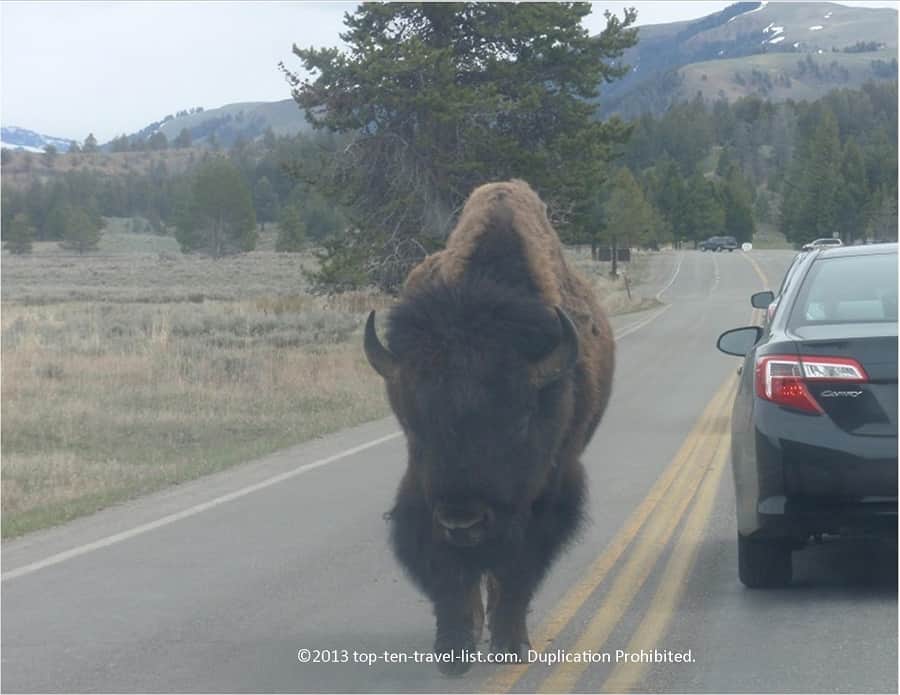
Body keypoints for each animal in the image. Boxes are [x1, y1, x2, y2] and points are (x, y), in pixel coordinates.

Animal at [364, 179, 615, 675]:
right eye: (416, 423)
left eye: (518, 420)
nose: (462, 519)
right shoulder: (423, 496)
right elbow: (448, 576)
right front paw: (453, 650)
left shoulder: (545, 497)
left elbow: (516, 573)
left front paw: (510, 644)